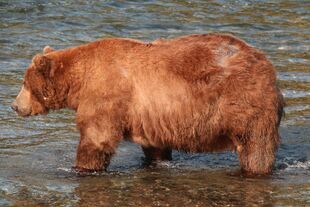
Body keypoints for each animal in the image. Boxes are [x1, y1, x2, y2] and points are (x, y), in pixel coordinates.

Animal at [11, 33, 284, 175]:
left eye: (24, 83)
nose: (14, 105)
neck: (80, 79)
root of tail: (267, 64)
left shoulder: (106, 94)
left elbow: (97, 137)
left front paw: (81, 167)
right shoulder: (152, 114)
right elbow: (155, 146)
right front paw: (157, 161)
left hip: (244, 102)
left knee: (255, 147)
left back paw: (255, 169)